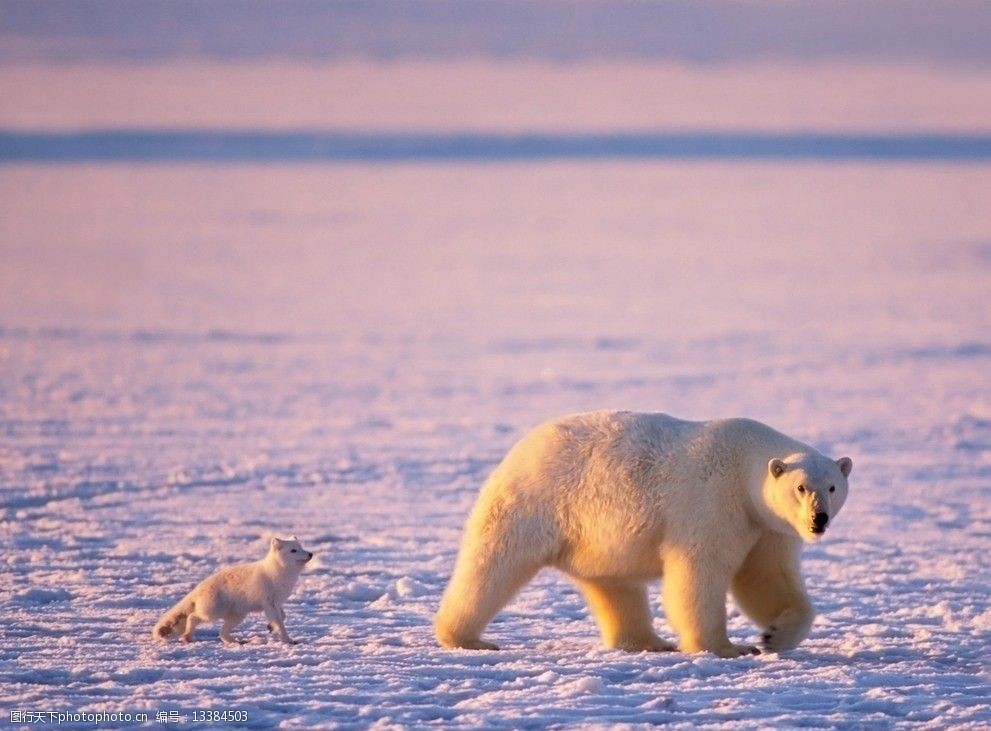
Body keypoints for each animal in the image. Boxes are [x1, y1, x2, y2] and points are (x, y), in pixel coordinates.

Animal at [152, 536, 310, 648]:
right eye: (293, 550)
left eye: (301, 547)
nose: (311, 554)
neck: (277, 573)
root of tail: (199, 587)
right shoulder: (269, 603)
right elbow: (280, 622)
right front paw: (287, 639)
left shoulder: (276, 603)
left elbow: (282, 616)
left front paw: (271, 627)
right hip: (212, 612)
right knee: (193, 617)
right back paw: (187, 637)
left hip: (237, 616)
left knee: (221, 632)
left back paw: (236, 642)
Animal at [434, 412, 852, 656]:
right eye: (801, 487)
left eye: (832, 486)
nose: (818, 519)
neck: (744, 462)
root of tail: (520, 448)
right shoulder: (713, 501)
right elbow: (700, 572)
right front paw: (726, 647)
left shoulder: (766, 526)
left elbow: (766, 577)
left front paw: (774, 635)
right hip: (536, 502)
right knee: (494, 564)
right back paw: (466, 637)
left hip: (595, 537)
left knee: (615, 585)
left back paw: (648, 642)